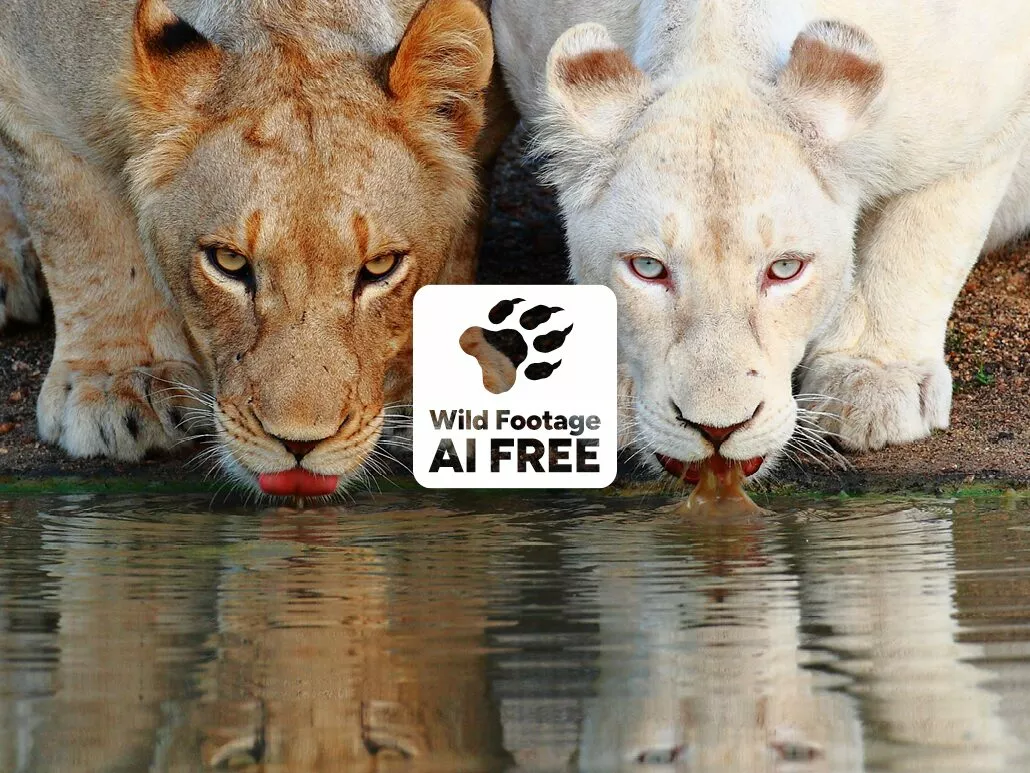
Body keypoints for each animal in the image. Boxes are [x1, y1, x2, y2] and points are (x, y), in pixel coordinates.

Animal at [0, 0, 505, 496]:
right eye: (229, 262)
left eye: (380, 266)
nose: (299, 444)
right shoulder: (33, 95)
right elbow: (84, 234)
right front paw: (119, 383)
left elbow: (458, 246)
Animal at [492, 0, 1030, 483]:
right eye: (648, 268)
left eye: (785, 268)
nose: (716, 430)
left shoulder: (987, 120)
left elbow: (920, 241)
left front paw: (871, 383)